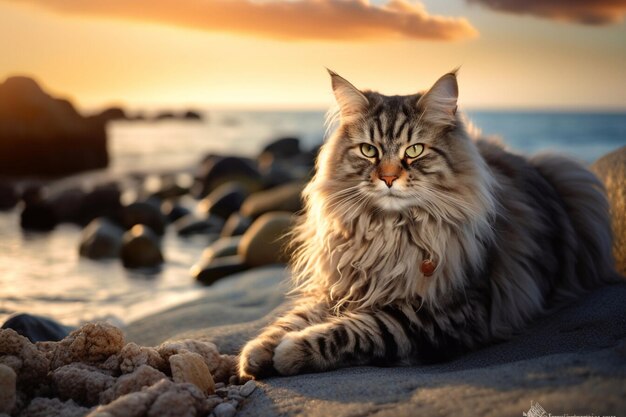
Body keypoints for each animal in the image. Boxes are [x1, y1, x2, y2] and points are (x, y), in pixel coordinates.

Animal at [236, 70, 616, 378]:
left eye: (415, 150)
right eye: (369, 151)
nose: (389, 178)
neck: (388, 234)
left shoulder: (442, 314)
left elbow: (357, 328)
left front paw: (291, 350)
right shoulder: (343, 286)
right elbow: (294, 318)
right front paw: (258, 351)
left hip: (573, 177)